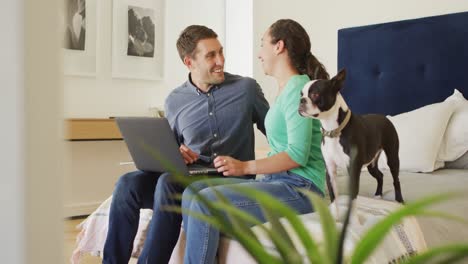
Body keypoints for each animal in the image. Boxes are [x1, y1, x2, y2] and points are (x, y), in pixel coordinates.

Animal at [298, 68, 404, 219]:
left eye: (315, 94)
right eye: (301, 94)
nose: (301, 100)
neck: (333, 130)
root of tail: (385, 117)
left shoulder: (354, 170)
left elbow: (352, 200)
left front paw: (352, 220)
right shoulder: (330, 170)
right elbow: (334, 197)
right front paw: (335, 218)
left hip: (393, 156)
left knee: (396, 179)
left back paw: (400, 201)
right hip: (371, 164)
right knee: (380, 175)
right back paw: (378, 195)